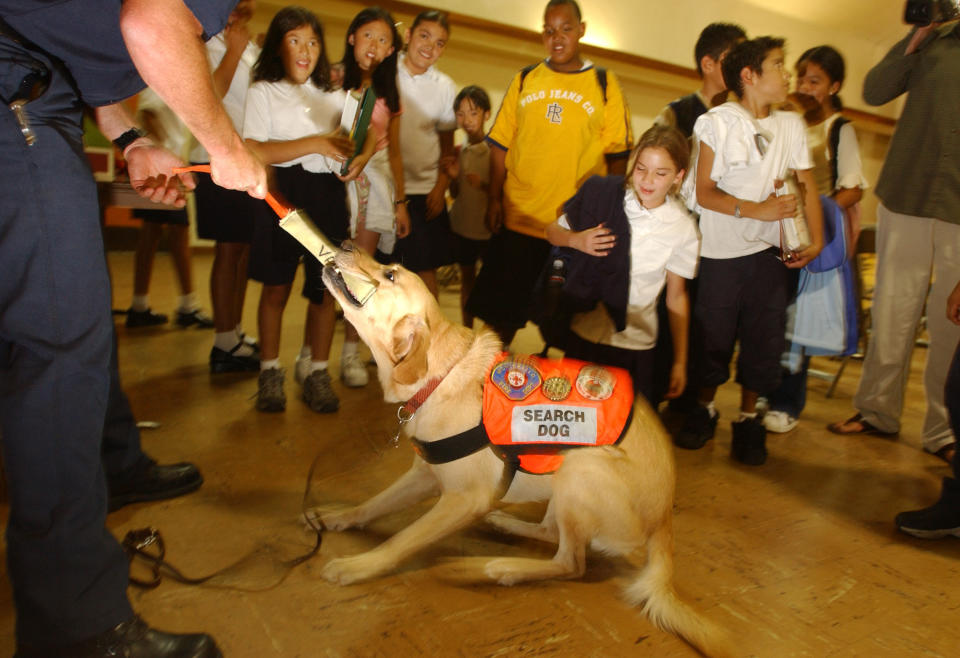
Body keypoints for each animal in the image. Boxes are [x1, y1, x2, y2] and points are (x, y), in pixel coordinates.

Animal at [318, 249, 732, 652]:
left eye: (390, 274)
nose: (346, 245)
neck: (442, 375)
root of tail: (664, 522)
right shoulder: (425, 474)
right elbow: (373, 504)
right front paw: (338, 517)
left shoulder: (465, 498)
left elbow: (403, 539)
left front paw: (357, 566)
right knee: (550, 533)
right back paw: (503, 527)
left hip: (581, 465)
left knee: (571, 563)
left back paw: (488, 568)